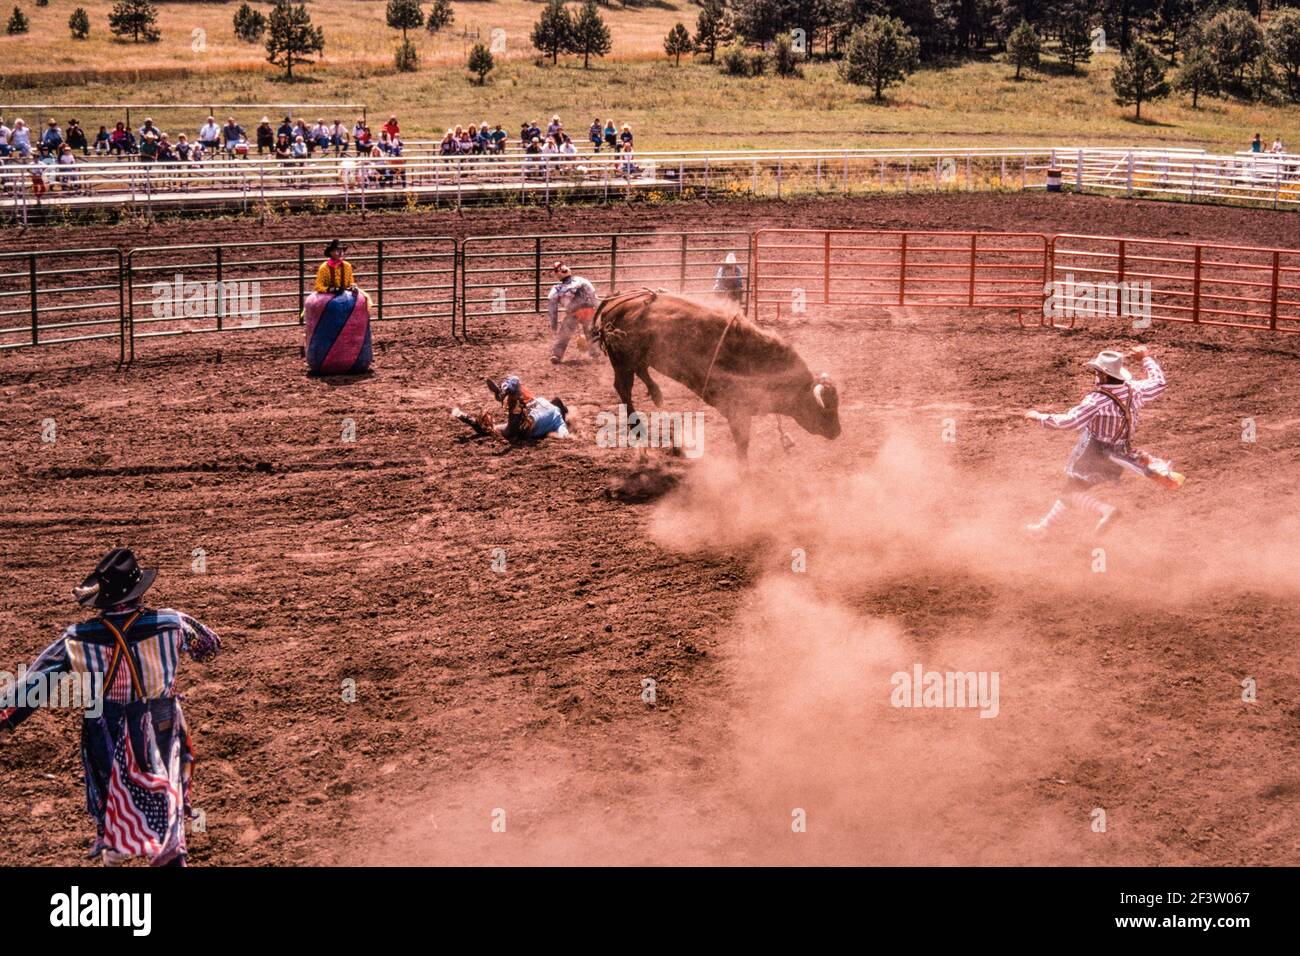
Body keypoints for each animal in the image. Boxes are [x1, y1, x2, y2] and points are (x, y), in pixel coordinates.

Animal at [592, 290, 842, 457]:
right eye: (824, 408)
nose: (837, 432)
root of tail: (614, 302)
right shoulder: (736, 409)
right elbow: (742, 443)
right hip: (621, 360)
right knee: (624, 389)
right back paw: (638, 428)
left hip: (637, 356)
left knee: (641, 370)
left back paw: (657, 394)